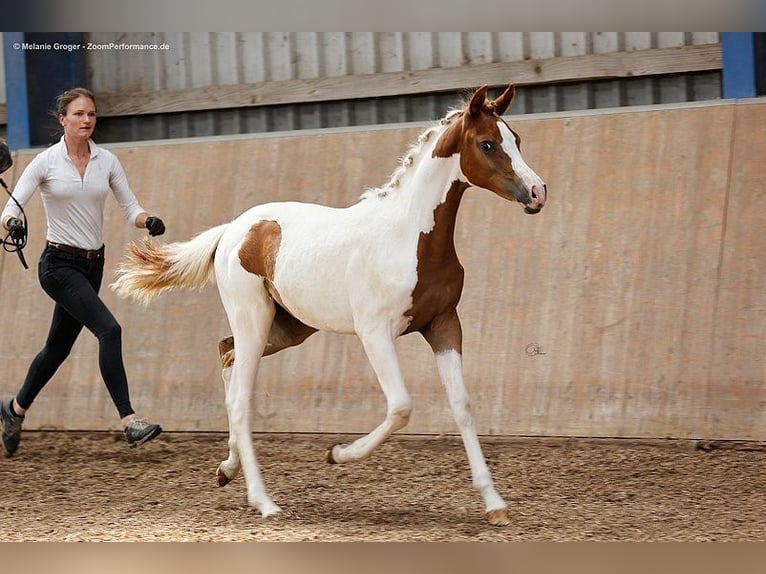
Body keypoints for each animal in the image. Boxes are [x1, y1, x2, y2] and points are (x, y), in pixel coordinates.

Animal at [111, 83, 548, 528]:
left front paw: (494, 504)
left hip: (288, 328)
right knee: (240, 396)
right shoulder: (375, 333)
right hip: (254, 319)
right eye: (487, 143)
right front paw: (336, 454)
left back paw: (226, 469)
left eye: (516, 139)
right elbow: (401, 407)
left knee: (225, 353)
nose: (537, 193)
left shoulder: (443, 325)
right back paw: (263, 502)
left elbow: (462, 406)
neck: (409, 236)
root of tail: (233, 229)